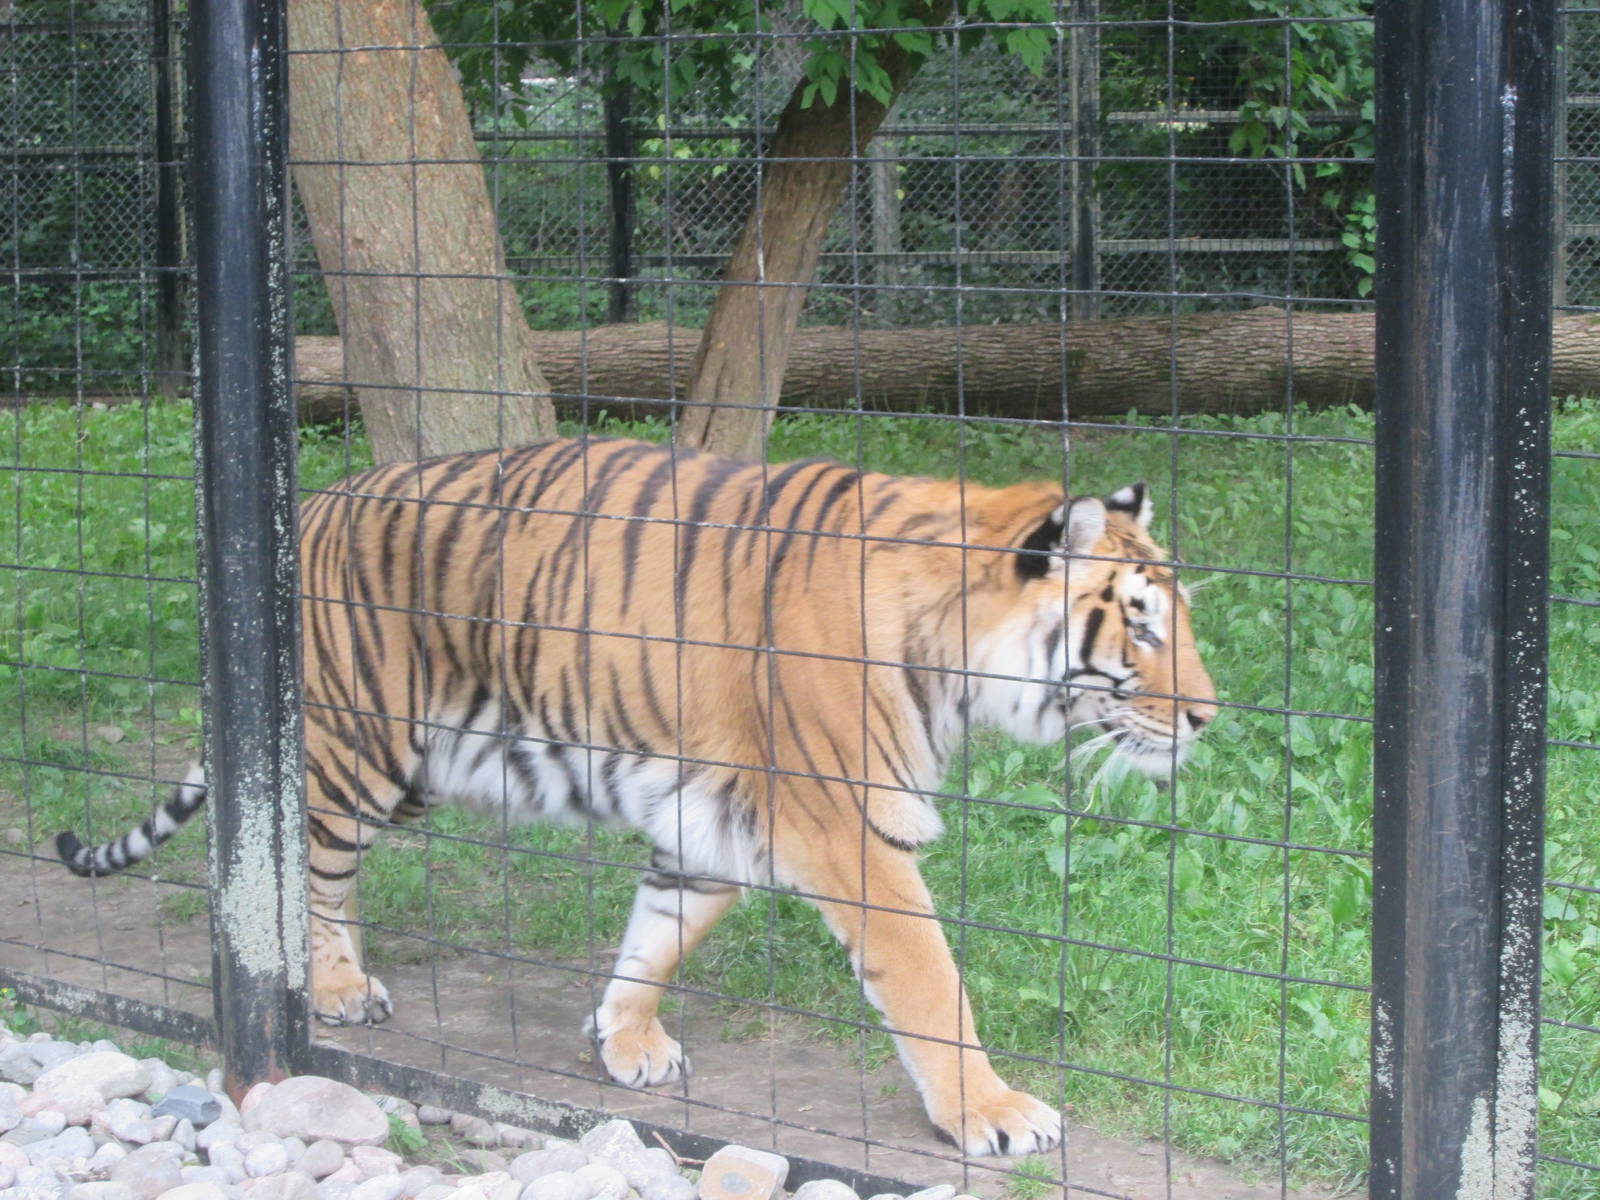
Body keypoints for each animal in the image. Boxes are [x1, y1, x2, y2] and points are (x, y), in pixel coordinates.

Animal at [57, 436, 1217, 1157]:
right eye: (1143, 627)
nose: (1209, 718)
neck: (954, 655)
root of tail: (307, 506)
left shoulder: (720, 818)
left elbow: (659, 932)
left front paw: (623, 1040)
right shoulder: (849, 826)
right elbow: (932, 984)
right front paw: (995, 1111)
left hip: (411, 765)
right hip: (359, 752)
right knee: (308, 865)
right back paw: (335, 988)